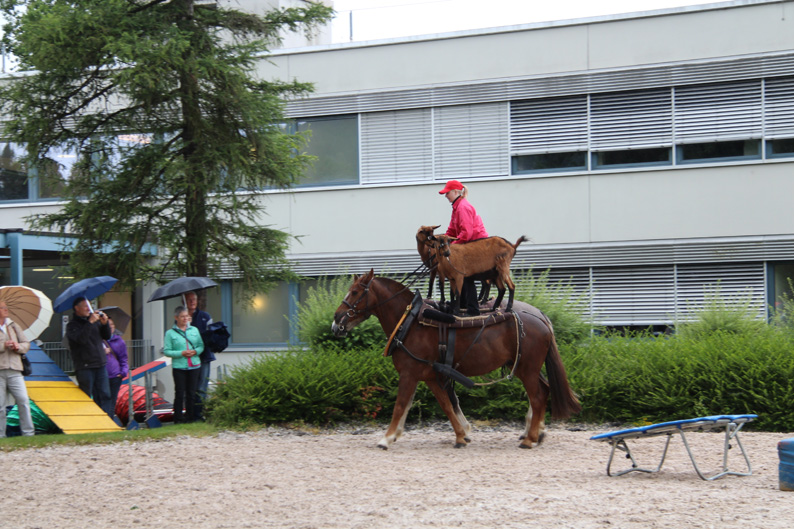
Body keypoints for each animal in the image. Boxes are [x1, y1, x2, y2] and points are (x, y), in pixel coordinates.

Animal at [330, 270, 580, 448]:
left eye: (355, 292)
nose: (336, 320)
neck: (410, 321)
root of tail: (540, 317)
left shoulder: (410, 373)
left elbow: (401, 404)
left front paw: (387, 437)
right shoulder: (430, 375)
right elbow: (446, 404)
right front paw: (461, 435)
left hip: (527, 369)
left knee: (537, 397)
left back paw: (530, 438)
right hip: (523, 367)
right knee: (544, 391)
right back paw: (535, 432)